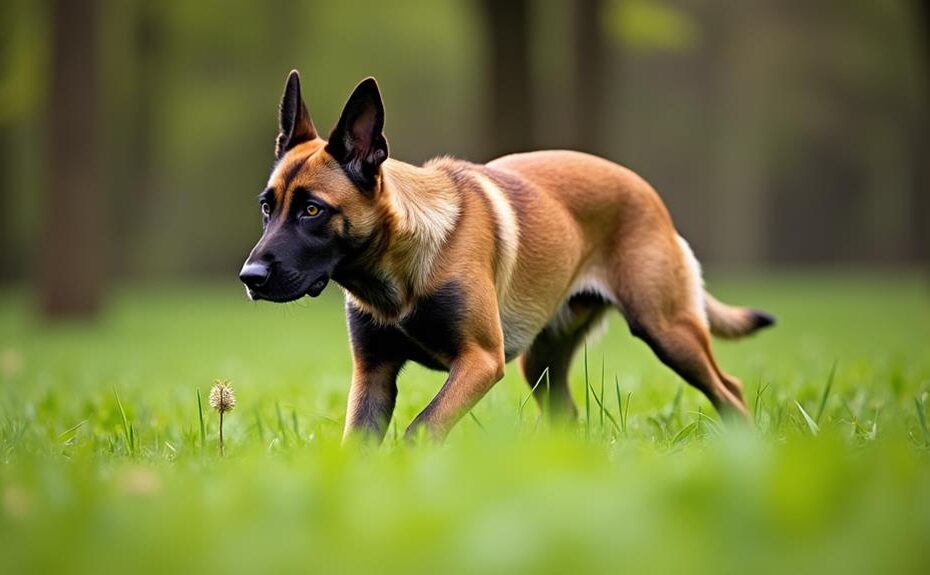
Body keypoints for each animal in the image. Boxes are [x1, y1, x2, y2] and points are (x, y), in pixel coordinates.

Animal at [241, 71, 776, 440]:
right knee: (568, 414)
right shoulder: (373, 375)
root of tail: (648, 194)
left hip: (667, 330)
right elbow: (358, 442)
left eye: (313, 210)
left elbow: (421, 428)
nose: (250, 277)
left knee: (730, 389)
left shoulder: (479, 361)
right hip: (541, 365)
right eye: (267, 207)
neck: (400, 269)